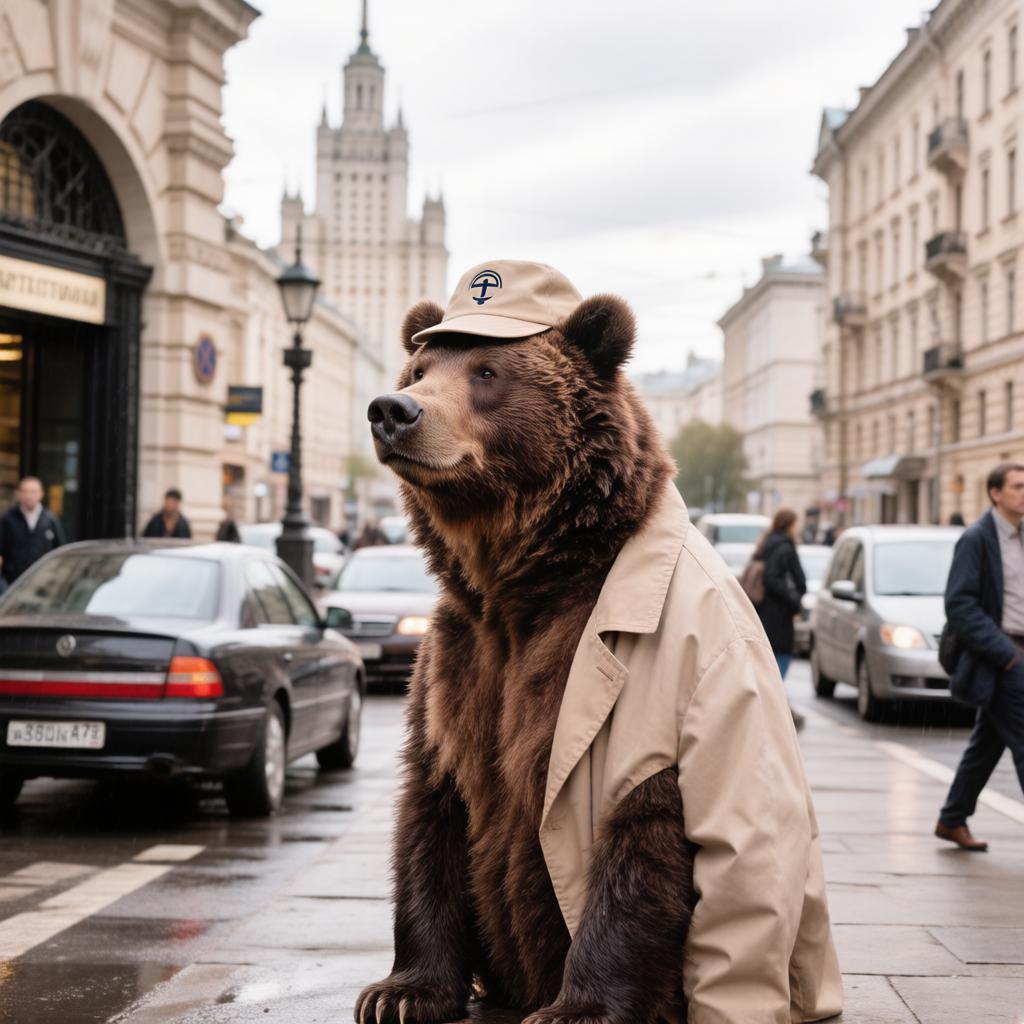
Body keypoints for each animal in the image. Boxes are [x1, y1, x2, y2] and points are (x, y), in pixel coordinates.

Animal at [354, 260, 696, 1024]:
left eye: (486, 371)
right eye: (420, 368)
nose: (393, 410)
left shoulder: (628, 671)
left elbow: (643, 819)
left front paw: (578, 1006)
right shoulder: (458, 658)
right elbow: (434, 801)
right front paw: (401, 990)